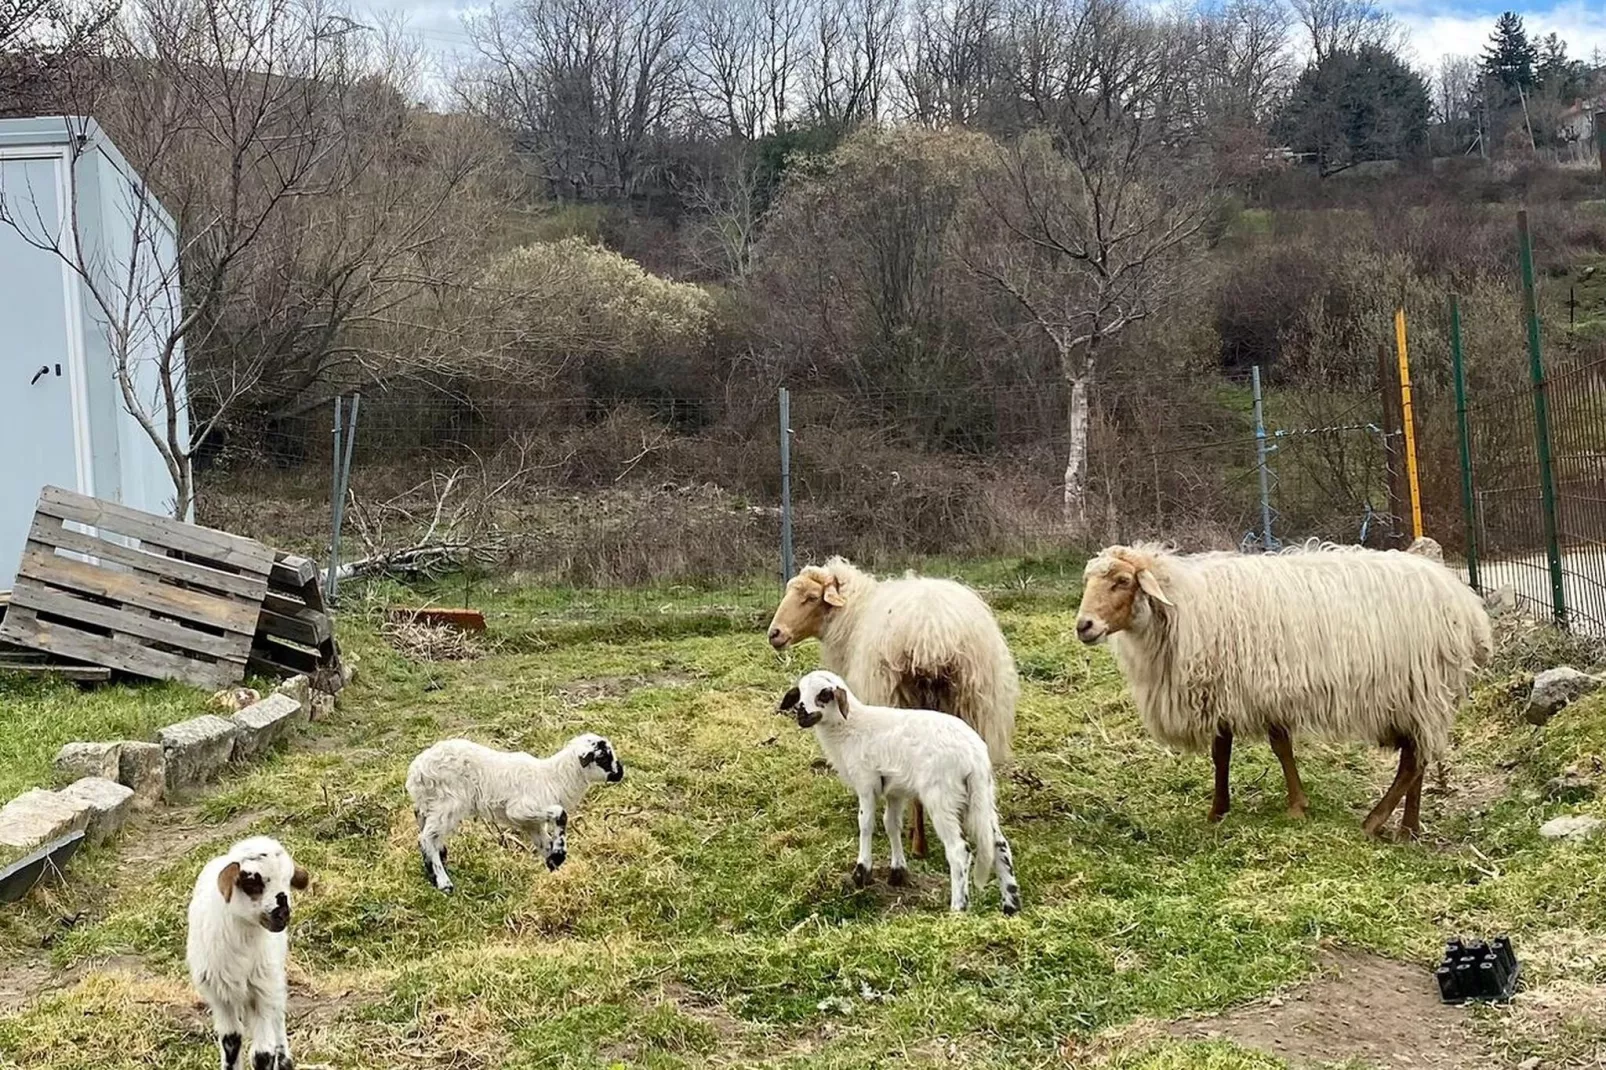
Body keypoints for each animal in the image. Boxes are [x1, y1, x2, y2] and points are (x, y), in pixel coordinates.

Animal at [187, 835, 309, 1066]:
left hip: (273, 978)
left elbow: (262, 1054)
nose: (283, 915)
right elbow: (231, 1041)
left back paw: (284, 1060)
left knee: (278, 1017)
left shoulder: (261, 991)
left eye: (288, 881)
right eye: (251, 881)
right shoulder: (220, 996)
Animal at [404, 732, 623, 893]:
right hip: (448, 803)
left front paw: (555, 867)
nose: (620, 773)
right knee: (427, 838)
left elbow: (545, 844)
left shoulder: (531, 823)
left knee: (426, 834)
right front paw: (560, 854)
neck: (554, 778)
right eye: (604, 756)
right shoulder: (519, 810)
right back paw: (444, 882)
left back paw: (434, 870)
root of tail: (416, 771)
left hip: (429, 805)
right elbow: (560, 814)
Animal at [764, 552, 1014, 854]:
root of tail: (934, 637)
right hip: (972, 707)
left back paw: (918, 842)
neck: (853, 615)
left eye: (811, 597)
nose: (774, 634)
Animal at [774, 668, 1014, 906]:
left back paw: (958, 906)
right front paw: (898, 872)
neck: (849, 727)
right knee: (999, 844)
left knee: (958, 850)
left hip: (942, 798)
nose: (802, 714)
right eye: (799, 692)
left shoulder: (866, 784)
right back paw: (1011, 904)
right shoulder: (895, 792)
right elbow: (891, 825)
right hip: (981, 795)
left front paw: (862, 871)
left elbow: (866, 824)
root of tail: (974, 755)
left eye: (824, 694)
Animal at [1072, 536, 1496, 835]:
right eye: (1089, 582)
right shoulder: (1237, 690)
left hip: (1422, 687)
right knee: (1417, 756)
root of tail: (1467, 604)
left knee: (1413, 760)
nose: (1083, 626)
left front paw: (1287, 807)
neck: (1184, 606)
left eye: (1122, 581)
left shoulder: (1257, 687)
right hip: (1417, 695)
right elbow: (1231, 752)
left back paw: (1374, 822)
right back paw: (1408, 828)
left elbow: (1267, 748)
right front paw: (1224, 810)